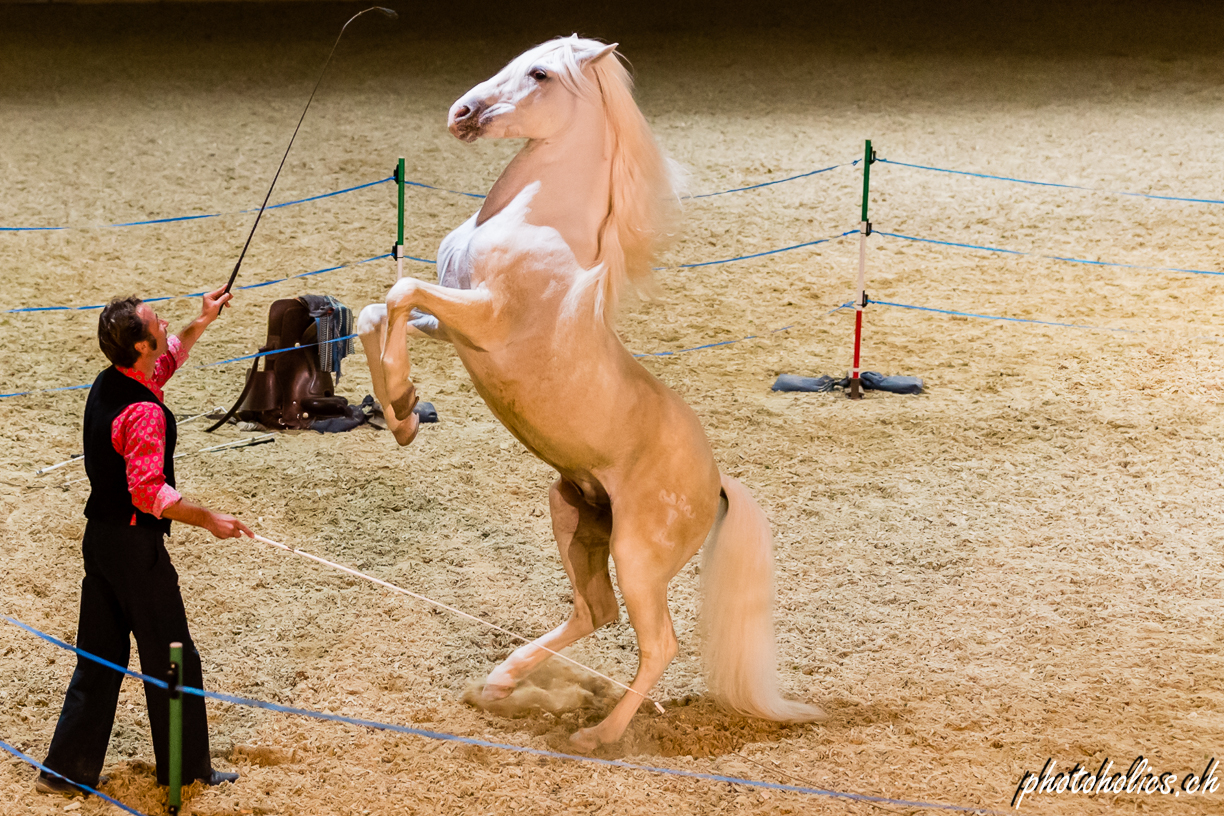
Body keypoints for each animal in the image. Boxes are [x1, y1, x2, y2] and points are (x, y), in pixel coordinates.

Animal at [357, 38, 827, 753]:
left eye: (540, 74)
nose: (461, 113)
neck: (531, 219)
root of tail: (717, 482)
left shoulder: (484, 319)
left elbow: (399, 291)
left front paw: (405, 409)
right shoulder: (452, 324)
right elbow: (374, 314)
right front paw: (401, 408)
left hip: (638, 557)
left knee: (658, 643)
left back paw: (597, 735)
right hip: (573, 512)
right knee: (595, 610)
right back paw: (499, 684)